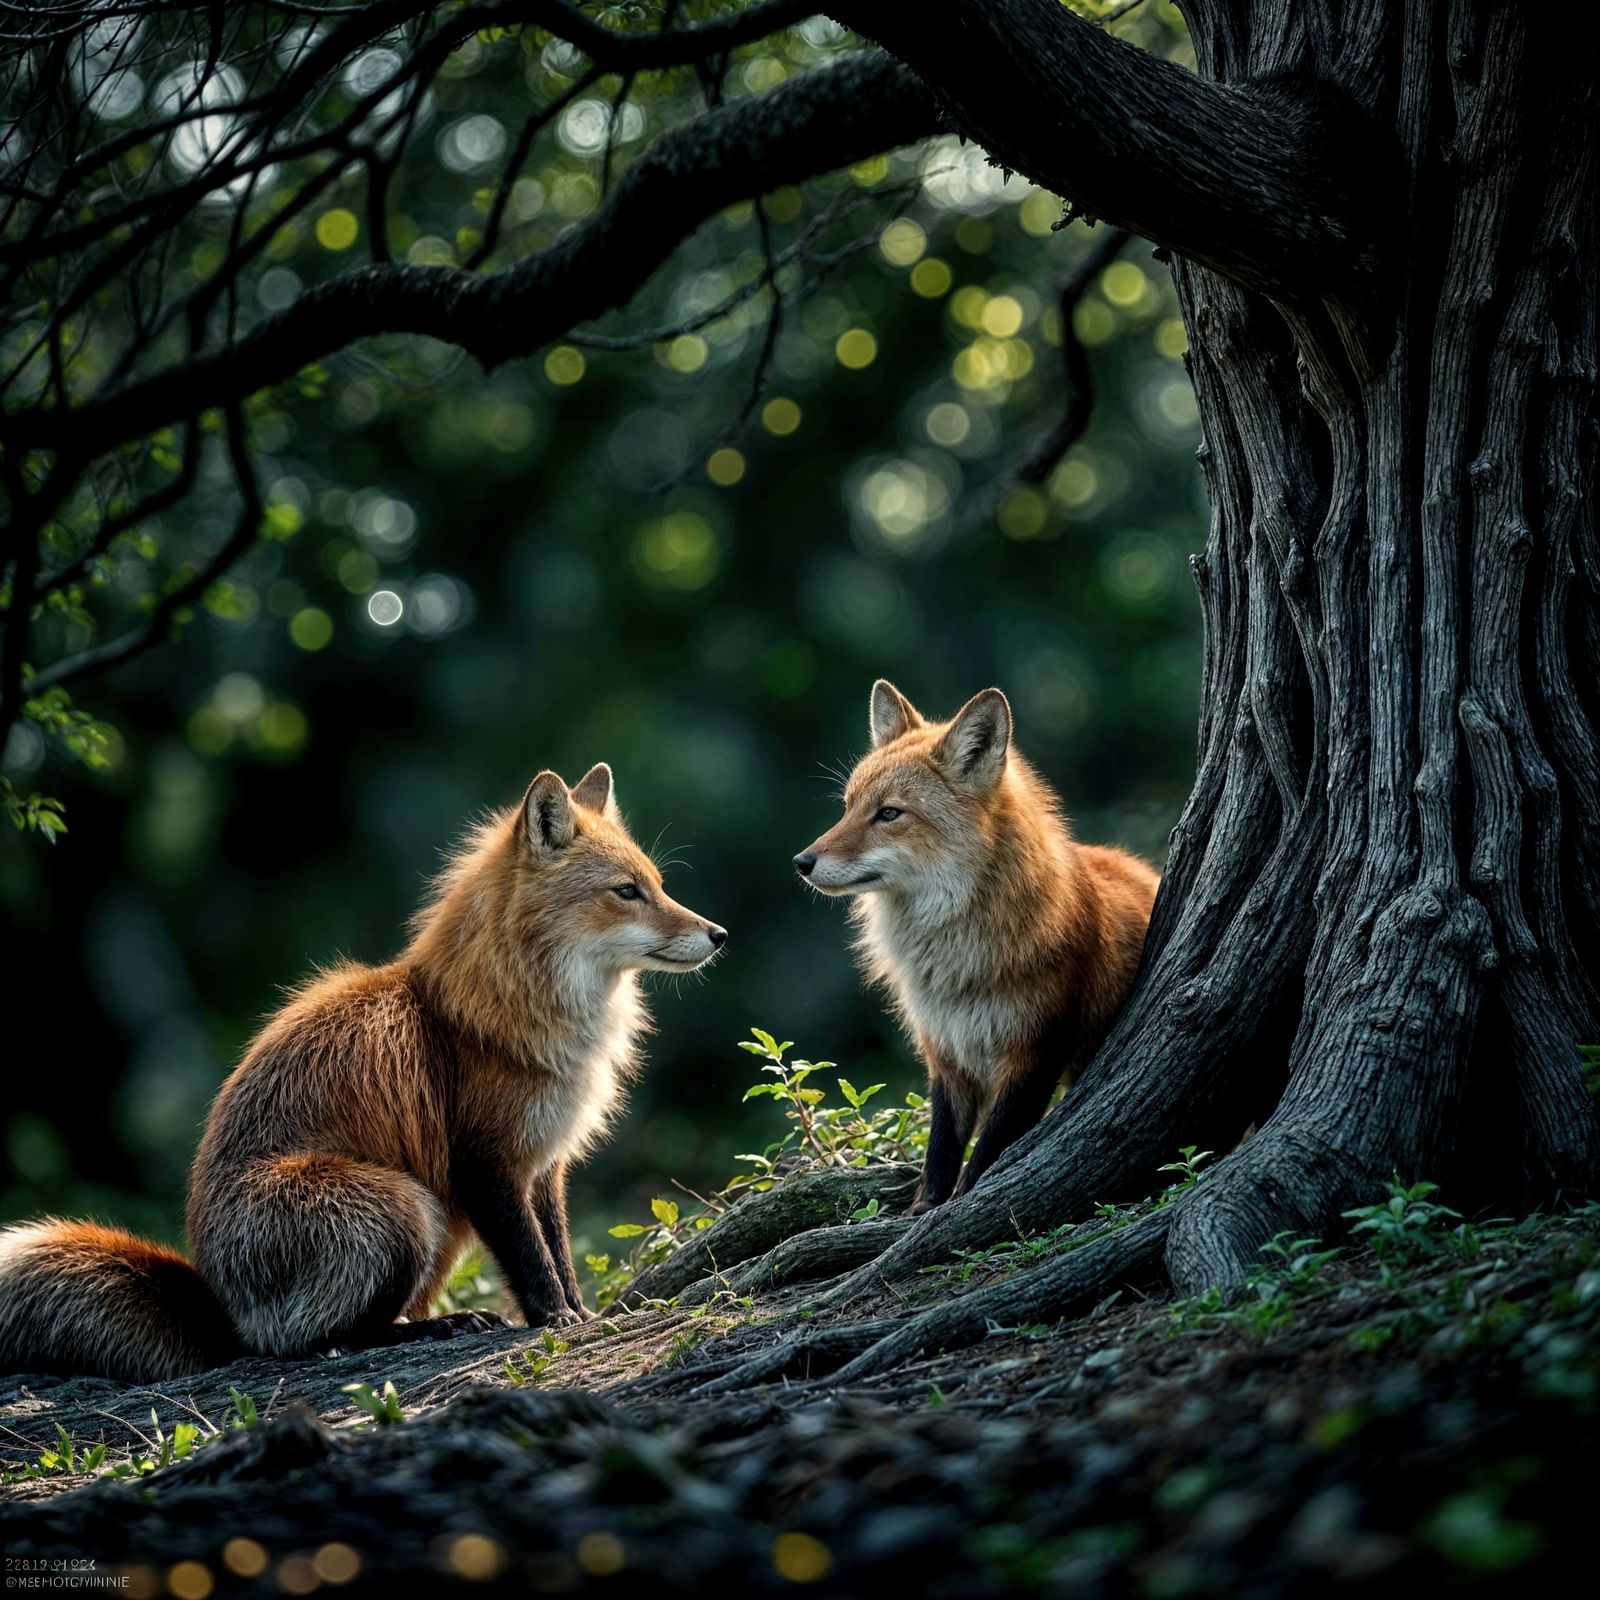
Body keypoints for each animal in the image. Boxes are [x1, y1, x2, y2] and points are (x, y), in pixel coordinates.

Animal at [0, 763, 726, 1385]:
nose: (718, 934)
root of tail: (223, 1308)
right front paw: (558, 1322)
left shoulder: (544, 1166)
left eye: (660, 884)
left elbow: (560, 1254)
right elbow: (532, 1263)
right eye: (627, 892)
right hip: (402, 1208)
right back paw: (428, 1329)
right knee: (317, 1340)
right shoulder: (485, 1164)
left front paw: (586, 1313)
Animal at [794, 681, 1158, 1214]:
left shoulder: (1034, 1051)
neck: (958, 964)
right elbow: (942, 1148)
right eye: (848, 805)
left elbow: (989, 1148)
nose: (801, 861)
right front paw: (922, 1211)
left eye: (889, 813)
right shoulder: (945, 1052)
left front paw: (963, 1205)